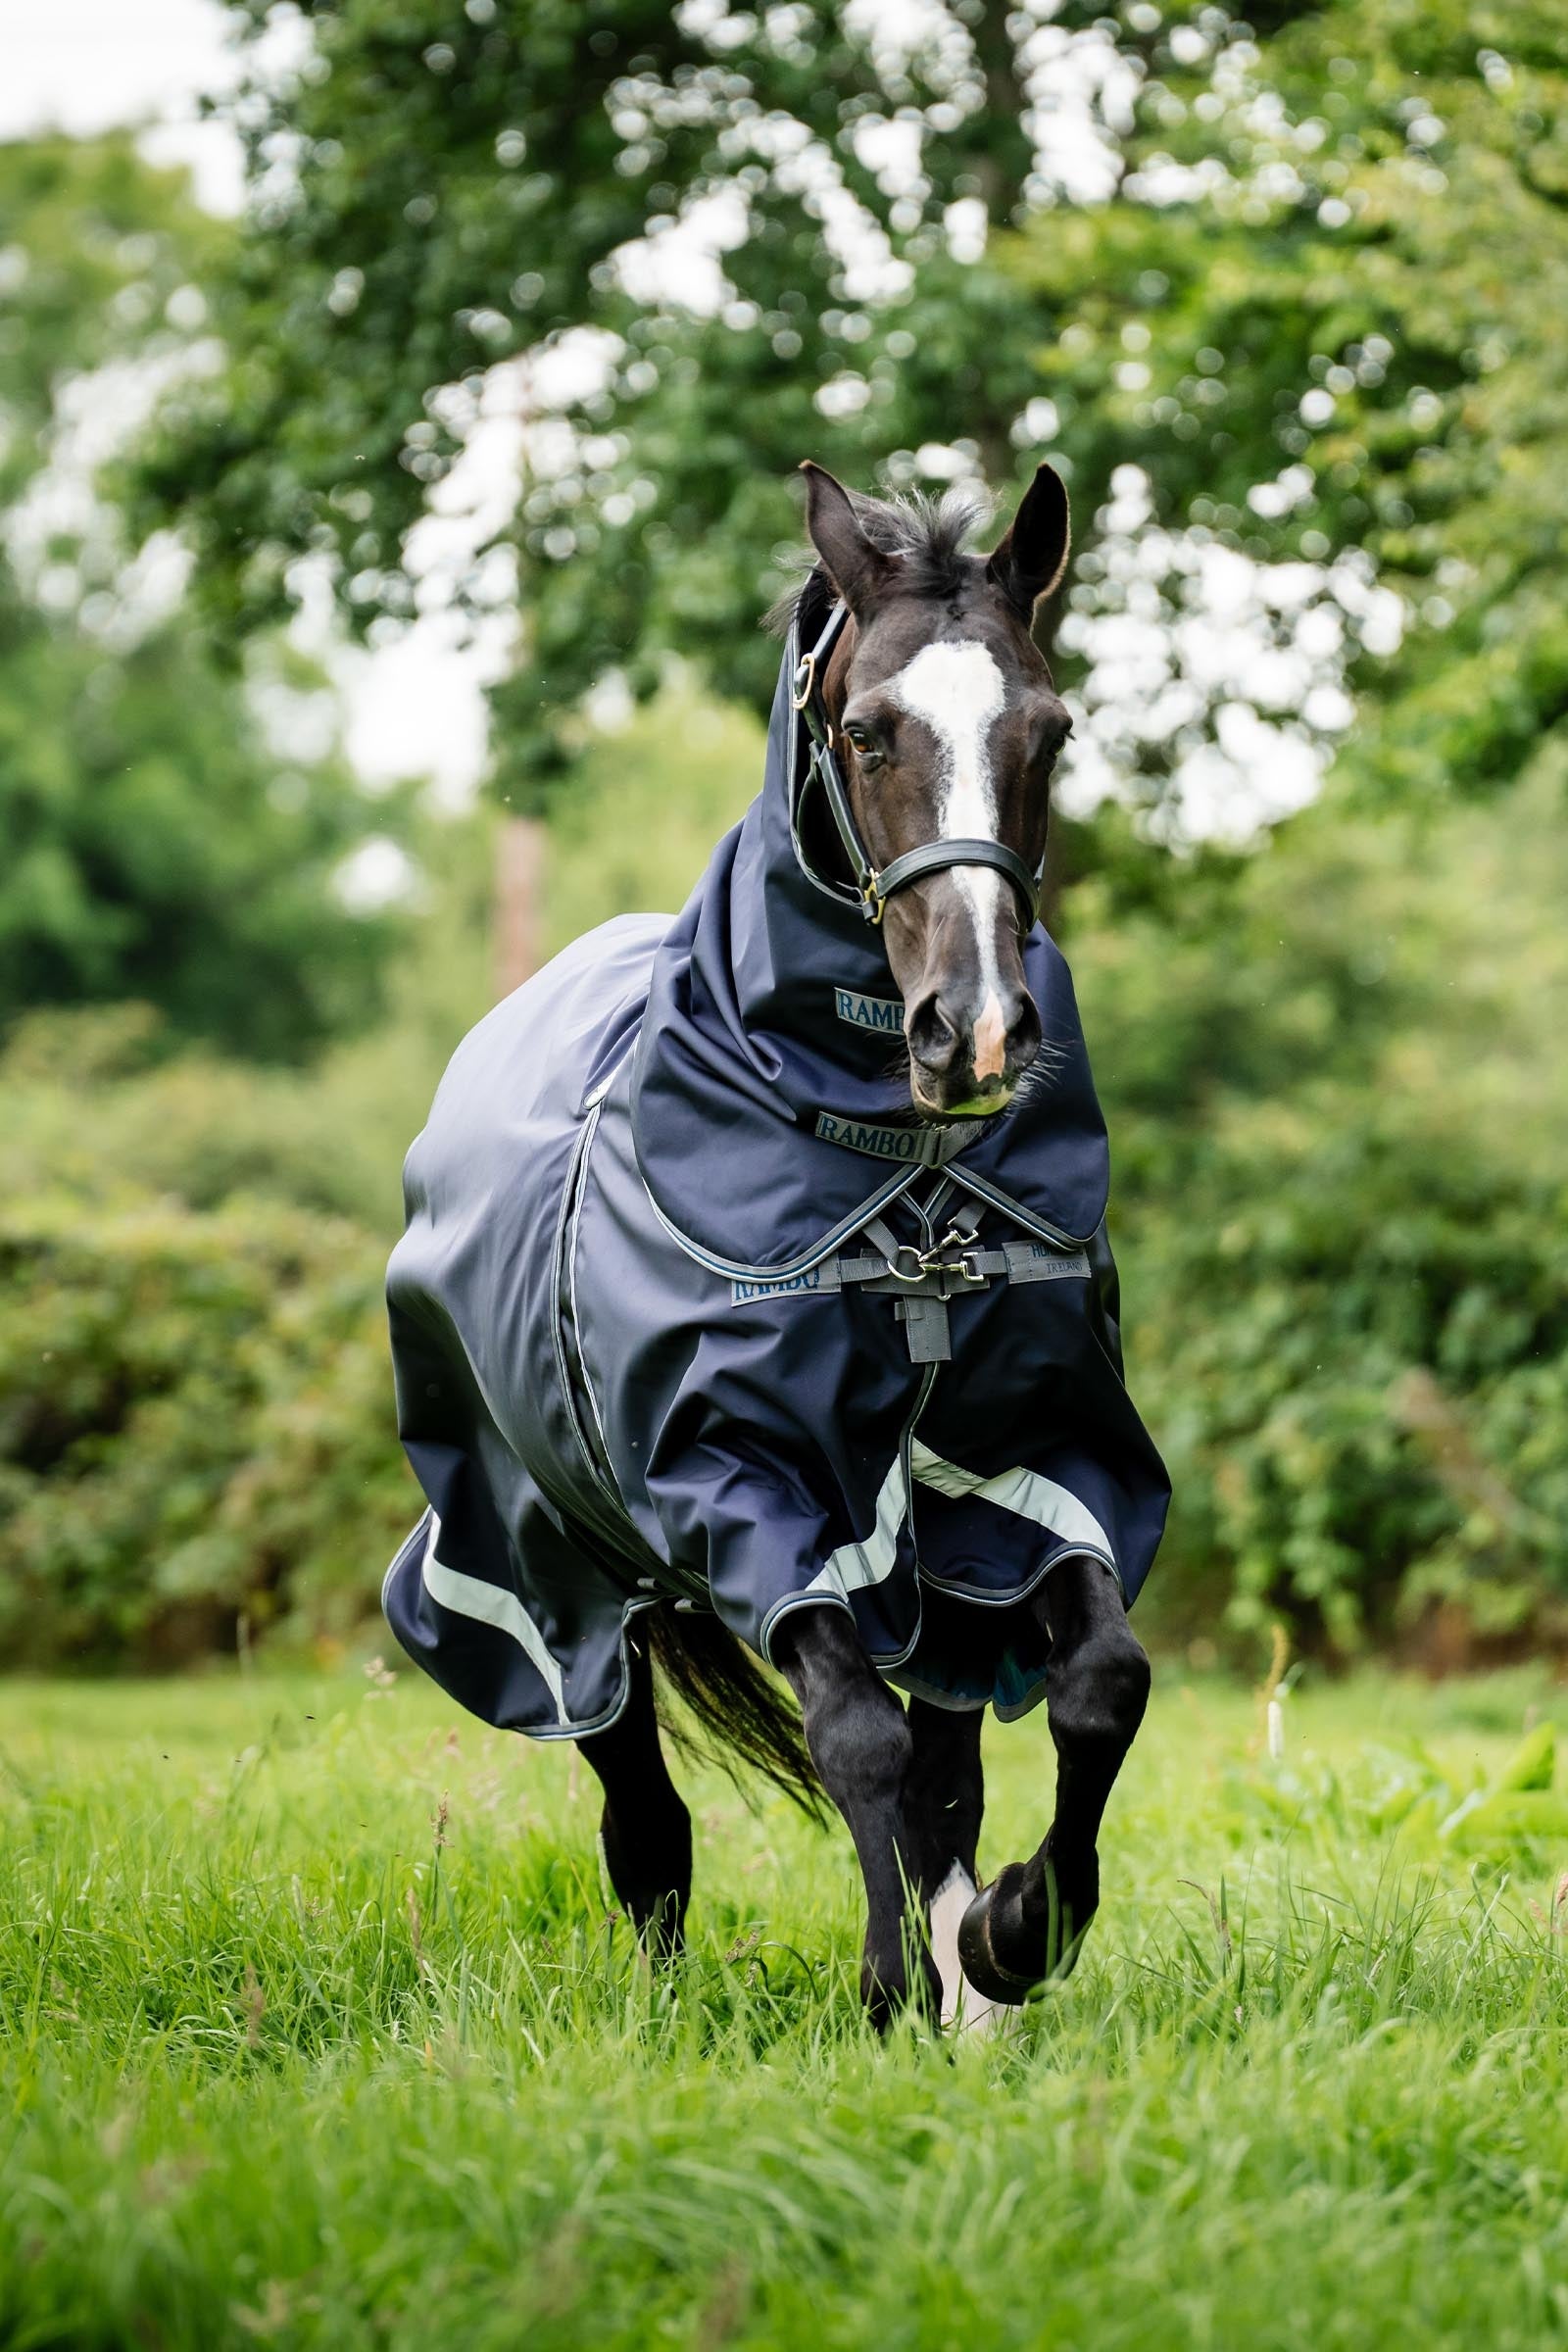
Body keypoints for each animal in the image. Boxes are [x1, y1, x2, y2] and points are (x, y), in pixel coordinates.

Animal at [383, 460, 1170, 2029]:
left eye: (1049, 730)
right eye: (865, 730)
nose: (975, 1031)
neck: (905, 1197)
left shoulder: (1023, 1470)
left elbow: (1096, 1686)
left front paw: (1013, 1937)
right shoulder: (747, 1480)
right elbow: (853, 1733)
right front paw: (885, 1984)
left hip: (925, 1583)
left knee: (946, 1770)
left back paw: (971, 1983)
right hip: (551, 1566)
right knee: (643, 1808)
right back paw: (672, 1998)